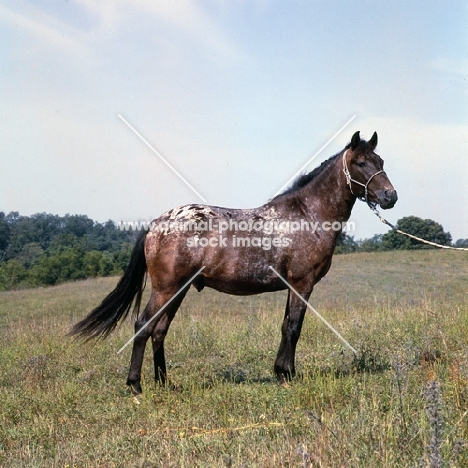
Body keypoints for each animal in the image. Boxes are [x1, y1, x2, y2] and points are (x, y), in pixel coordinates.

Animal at [70, 130, 398, 394]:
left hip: (178, 289)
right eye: (361, 163)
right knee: (143, 325)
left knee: (160, 329)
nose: (390, 196)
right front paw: (288, 375)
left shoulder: (292, 285)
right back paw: (135, 385)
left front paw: (281, 372)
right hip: (166, 289)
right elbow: (294, 328)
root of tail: (155, 224)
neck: (307, 215)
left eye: (381, 161)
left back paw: (164, 383)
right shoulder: (302, 284)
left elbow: (285, 326)